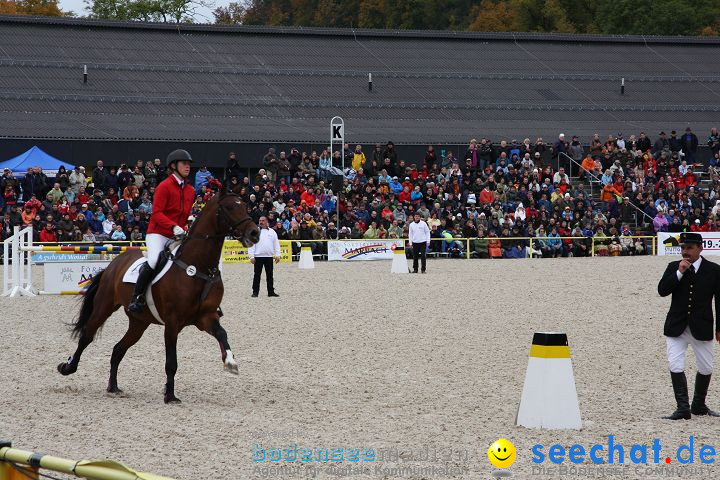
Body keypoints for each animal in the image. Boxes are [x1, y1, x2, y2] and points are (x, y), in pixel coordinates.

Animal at [57, 182, 258, 404]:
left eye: (245, 206)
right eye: (230, 207)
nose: (254, 233)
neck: (198, 267)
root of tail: (115, 263)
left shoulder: (206, 317)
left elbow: (222, 334)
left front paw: (230, 362)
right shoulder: (172, 322)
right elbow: (171, 362)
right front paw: (170, 395)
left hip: (139, 322)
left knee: (118, 349)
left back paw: (113, 387)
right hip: (104, 306)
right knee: (87, 336)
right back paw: (68, 367)